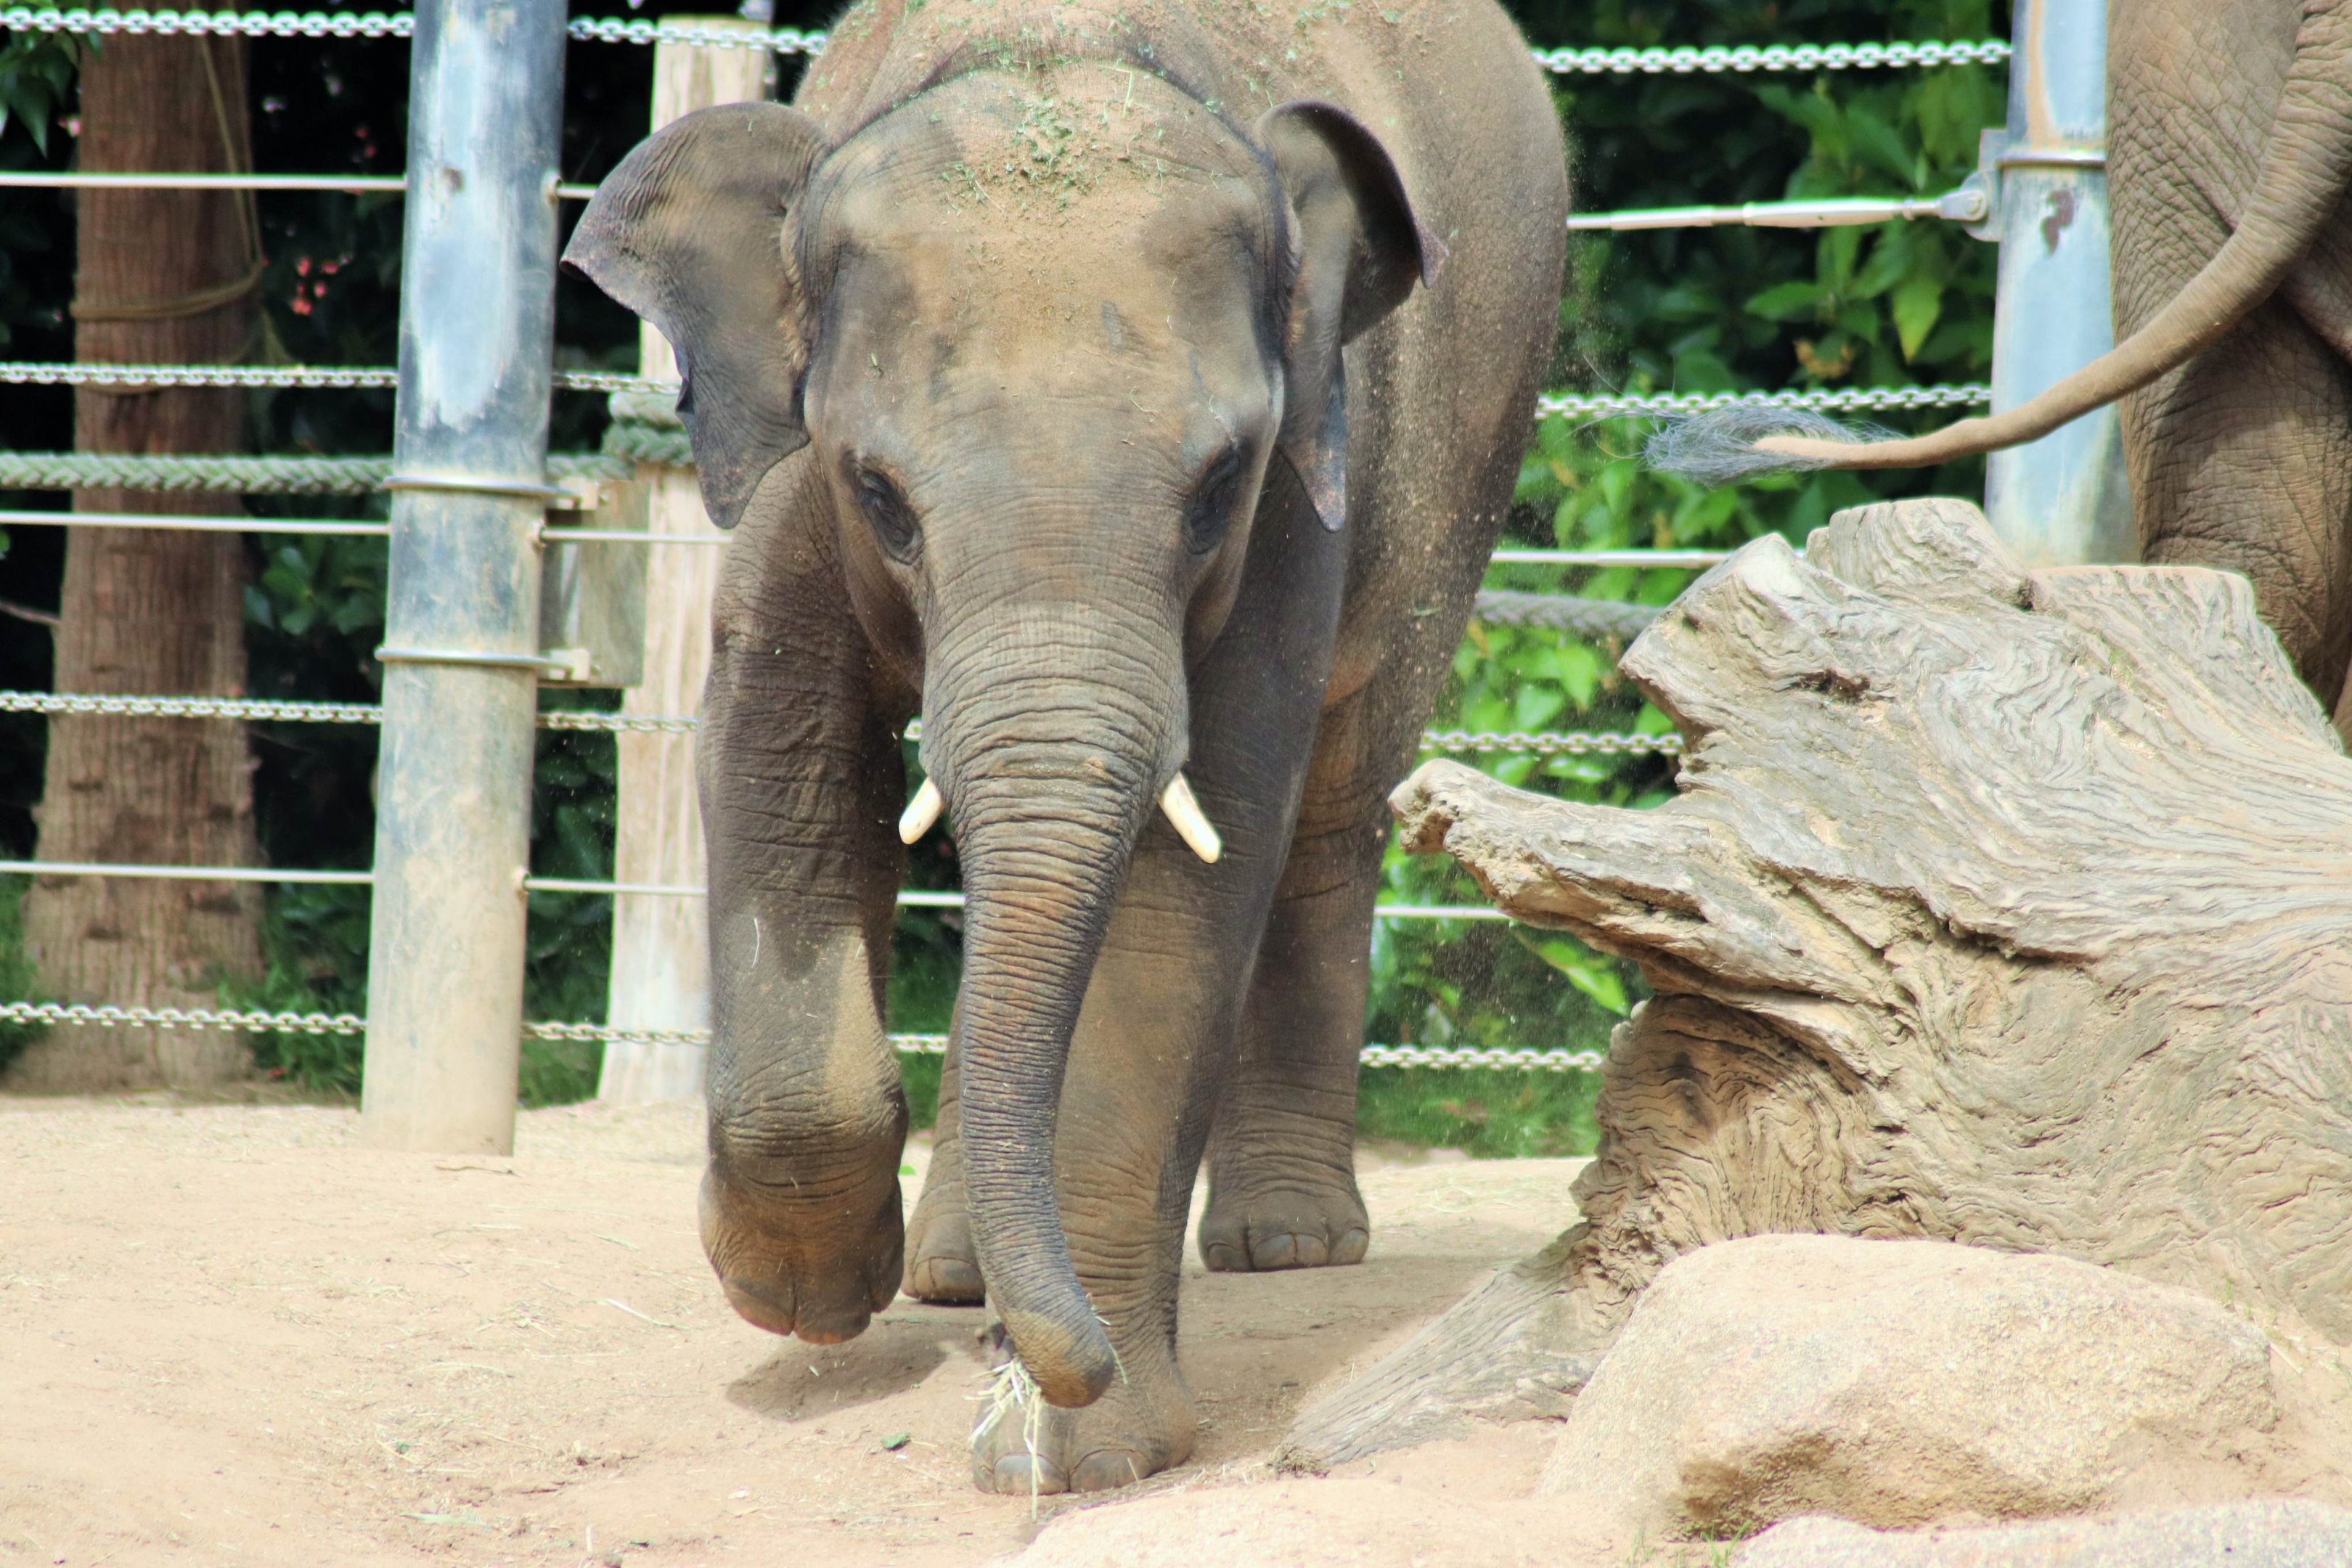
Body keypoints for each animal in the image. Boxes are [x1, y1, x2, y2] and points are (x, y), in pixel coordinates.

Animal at [564, 0, 1568, 1494]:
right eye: (880, 491)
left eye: (1218, 484)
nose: (1062, 1360)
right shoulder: (792, 477)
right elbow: (775, 741)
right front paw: (803, 1299)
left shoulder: (1297, 494)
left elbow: (1200, 859)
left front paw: (1083, 1449)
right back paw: (952, 1274)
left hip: (1472, 447)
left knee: (1340, 805)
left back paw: (1284, 1243)